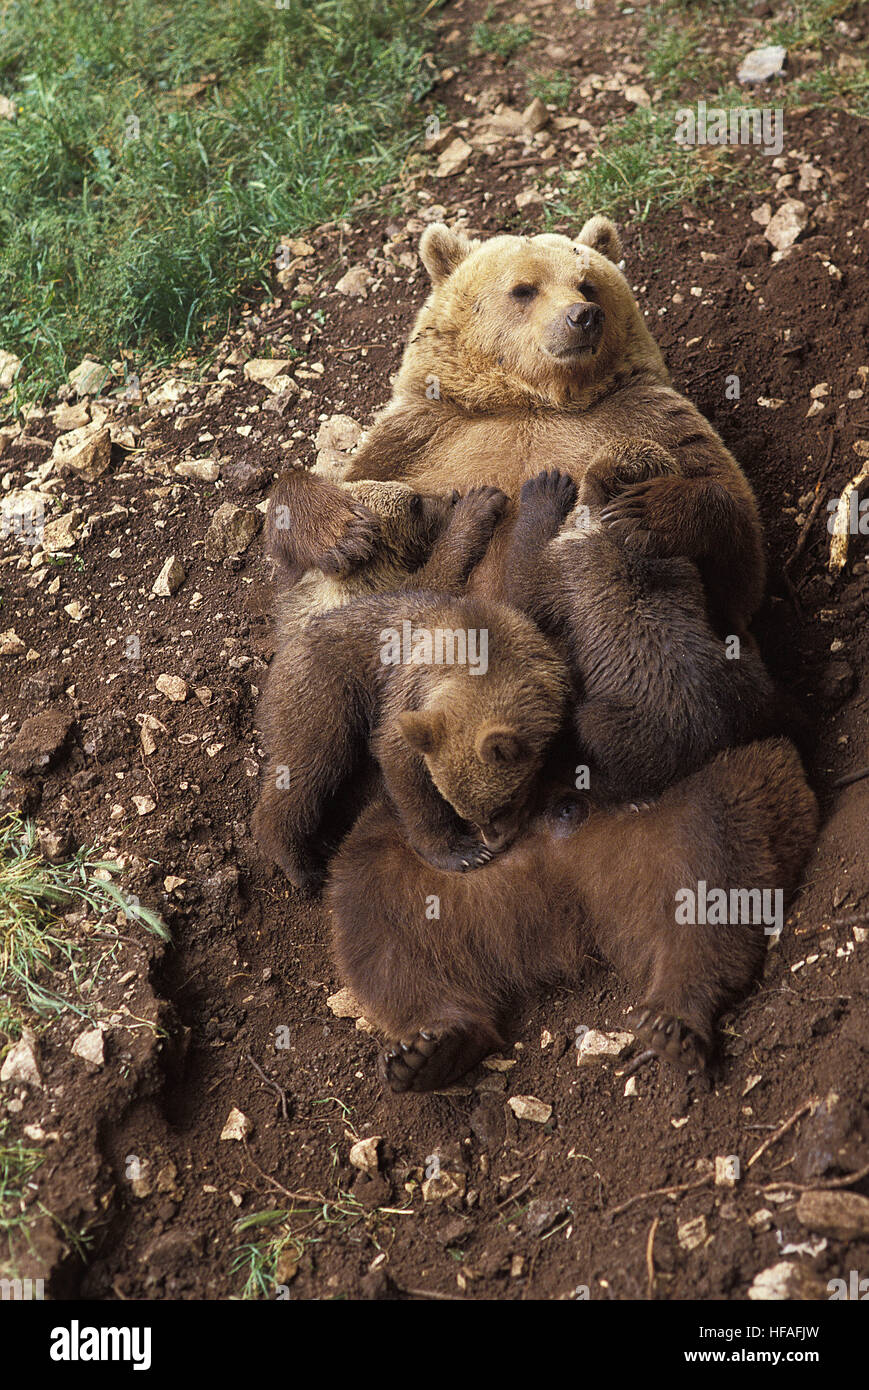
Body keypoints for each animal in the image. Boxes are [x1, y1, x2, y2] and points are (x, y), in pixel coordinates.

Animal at [252, 584, 569, 893]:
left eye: (505, 802)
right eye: (468, 812)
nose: (496, 843)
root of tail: (281, 655)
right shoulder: (410, 692)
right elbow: (403, 766)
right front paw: (463, 853)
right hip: (322, 692)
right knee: (308, 765)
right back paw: (299, 864)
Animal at [300, 216, 765, 636]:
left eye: (587, 284)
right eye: (524, 289)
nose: (583, 316)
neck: (533, 400)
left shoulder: (645, 413)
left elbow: (738, 546)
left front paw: (647, 511)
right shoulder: (421, 434)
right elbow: (363, 490)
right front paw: (340, 530)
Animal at [326, 737, 818, 1092]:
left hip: (687, 816)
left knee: (710, 867)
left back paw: (671, 1023)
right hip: (442, 886)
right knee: (378, 919)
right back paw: (427, 1049)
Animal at [502, 462, 778, 801]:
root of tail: (712, 741)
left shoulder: (564, 568)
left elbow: (524, 586)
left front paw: (546, 488)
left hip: (622, 724)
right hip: (746, 683)